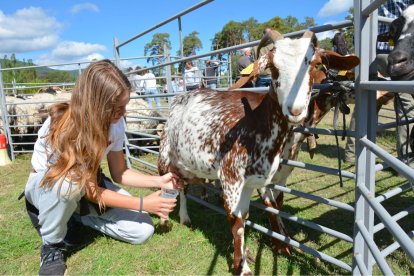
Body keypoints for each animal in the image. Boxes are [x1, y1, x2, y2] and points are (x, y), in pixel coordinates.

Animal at [157, 29, 358, 274]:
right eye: (273, 67)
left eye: (314, 63)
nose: (295, 110)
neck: (256, 123)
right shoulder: (231, 177)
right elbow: (238, 221)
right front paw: (242, 266)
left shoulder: (258, 180)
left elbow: (264, 210)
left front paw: (264, 249)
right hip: (165, 158)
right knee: (166, 186)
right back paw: (165, 221)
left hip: (188, 165)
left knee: (182, 188)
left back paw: (185, 218)